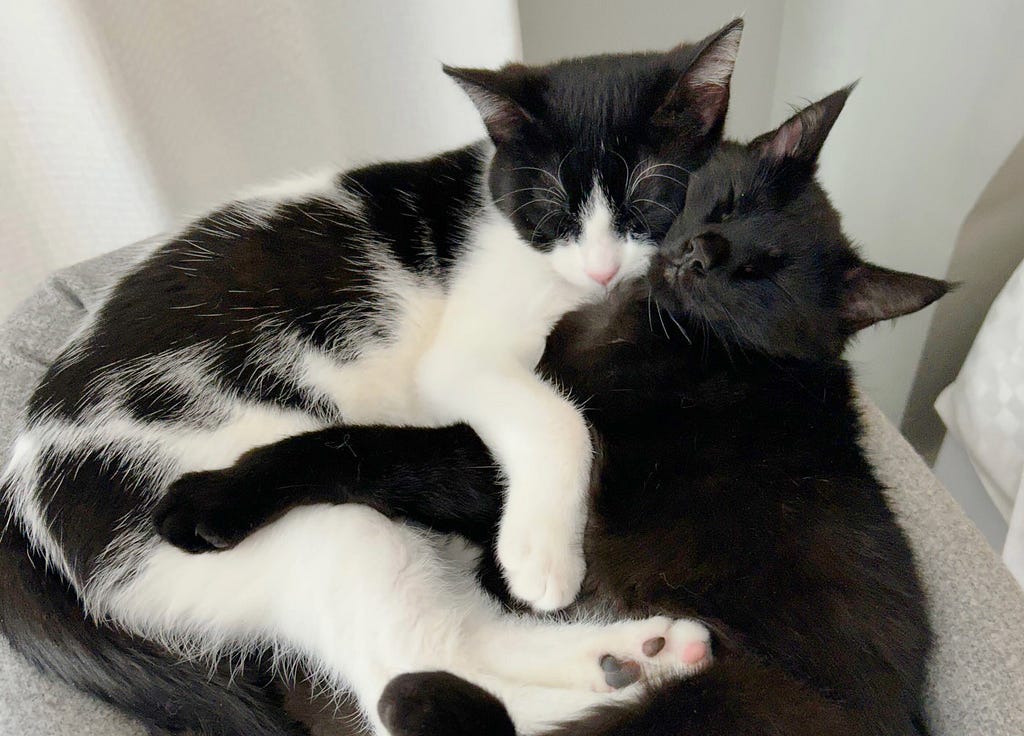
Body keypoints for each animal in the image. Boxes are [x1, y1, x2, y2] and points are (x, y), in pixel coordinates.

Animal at [0, 20, 745, 736]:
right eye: (546, 202)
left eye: (654, 194)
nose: (602, 269)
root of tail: (22, 485)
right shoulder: (463, 352)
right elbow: (555, 416)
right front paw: (540, 555)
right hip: (299, 527)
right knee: (421, 662)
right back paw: (623, 664)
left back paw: (633, 659)